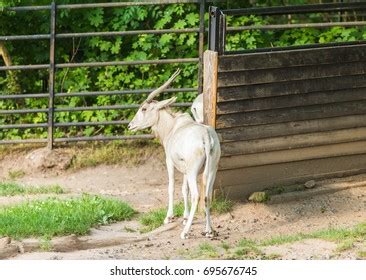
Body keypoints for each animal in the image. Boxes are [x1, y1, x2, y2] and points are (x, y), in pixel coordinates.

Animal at [129, 69, 220, 238]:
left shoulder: (170, 162)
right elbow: (185, 189)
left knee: (197, 195)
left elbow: (171, 186)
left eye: (144, 109)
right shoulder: (184, 168)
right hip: (212, 169)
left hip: (193, 170)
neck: (173, 127)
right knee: (207, 195)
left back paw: (185, 233)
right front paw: (184, 217)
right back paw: (209, 231)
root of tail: (206, 136)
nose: (130, 125)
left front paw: (169, 217)